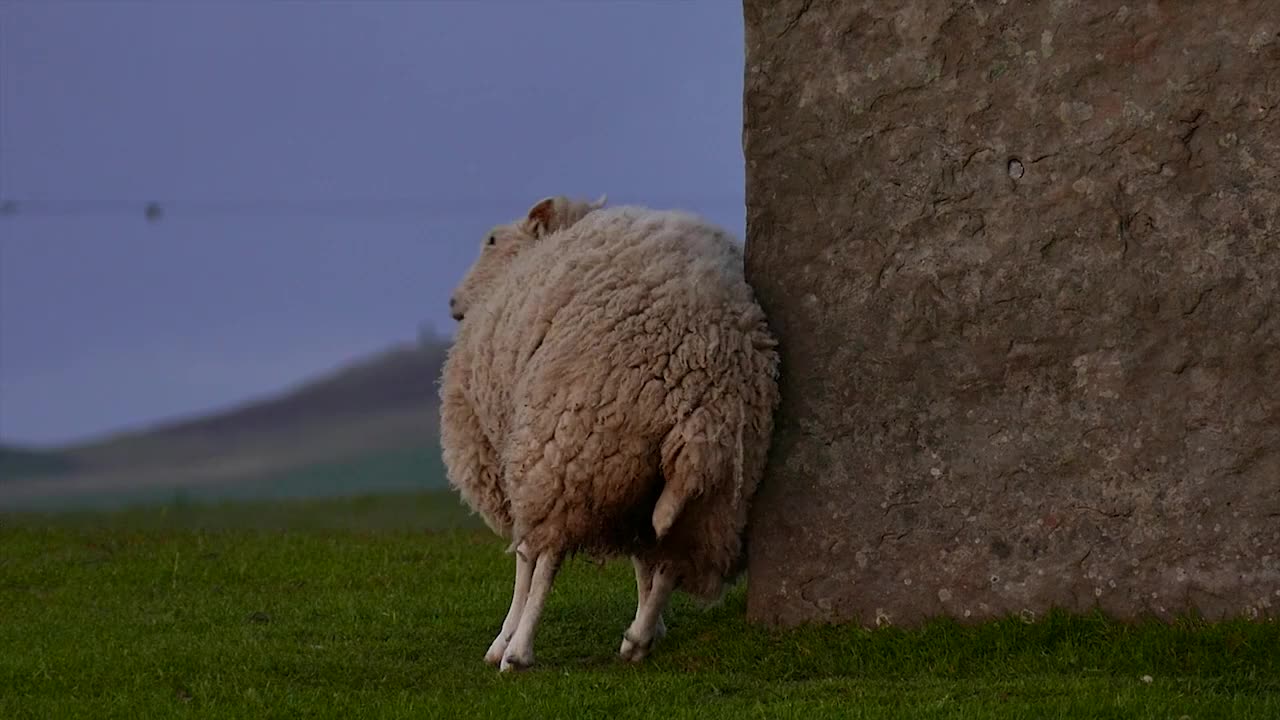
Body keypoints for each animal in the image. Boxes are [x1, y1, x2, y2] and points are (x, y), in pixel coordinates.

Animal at [440, 193, 778, 671]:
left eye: (491, 240)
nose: (453, 302)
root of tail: (703, 379)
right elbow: (641, 557)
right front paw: (653, 624)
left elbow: (526, 562)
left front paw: (503, 639)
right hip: (714, 480)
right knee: (671, 554)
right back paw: (638, 637)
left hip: (570, 445)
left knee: (546, 553)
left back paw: (519, 649)